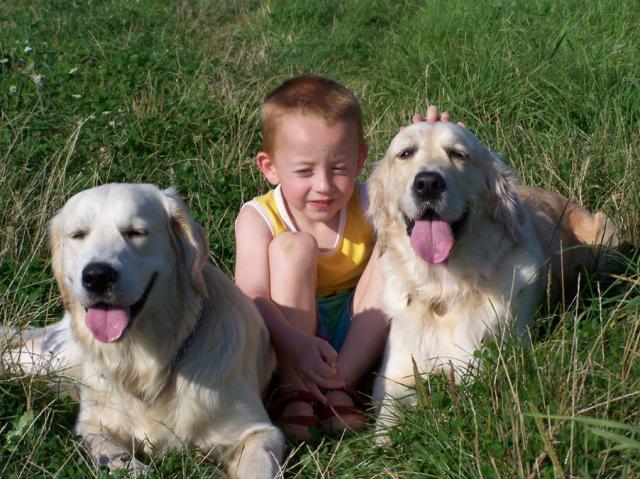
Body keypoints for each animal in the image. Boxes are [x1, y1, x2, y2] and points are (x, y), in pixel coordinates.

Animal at [1, 184, 283, 478]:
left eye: (136, 232)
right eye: (78, 235)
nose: (97, 277)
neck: (146, 363)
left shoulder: (259, 432)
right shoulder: (93, 426)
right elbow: (114, 454)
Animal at [368, 122, 617, 433]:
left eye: (458, 154)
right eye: (405, 153)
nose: (428, 184)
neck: (444, 290)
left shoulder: (482, 363)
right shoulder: (396, 375)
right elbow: (387, 419)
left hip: (607, 231)